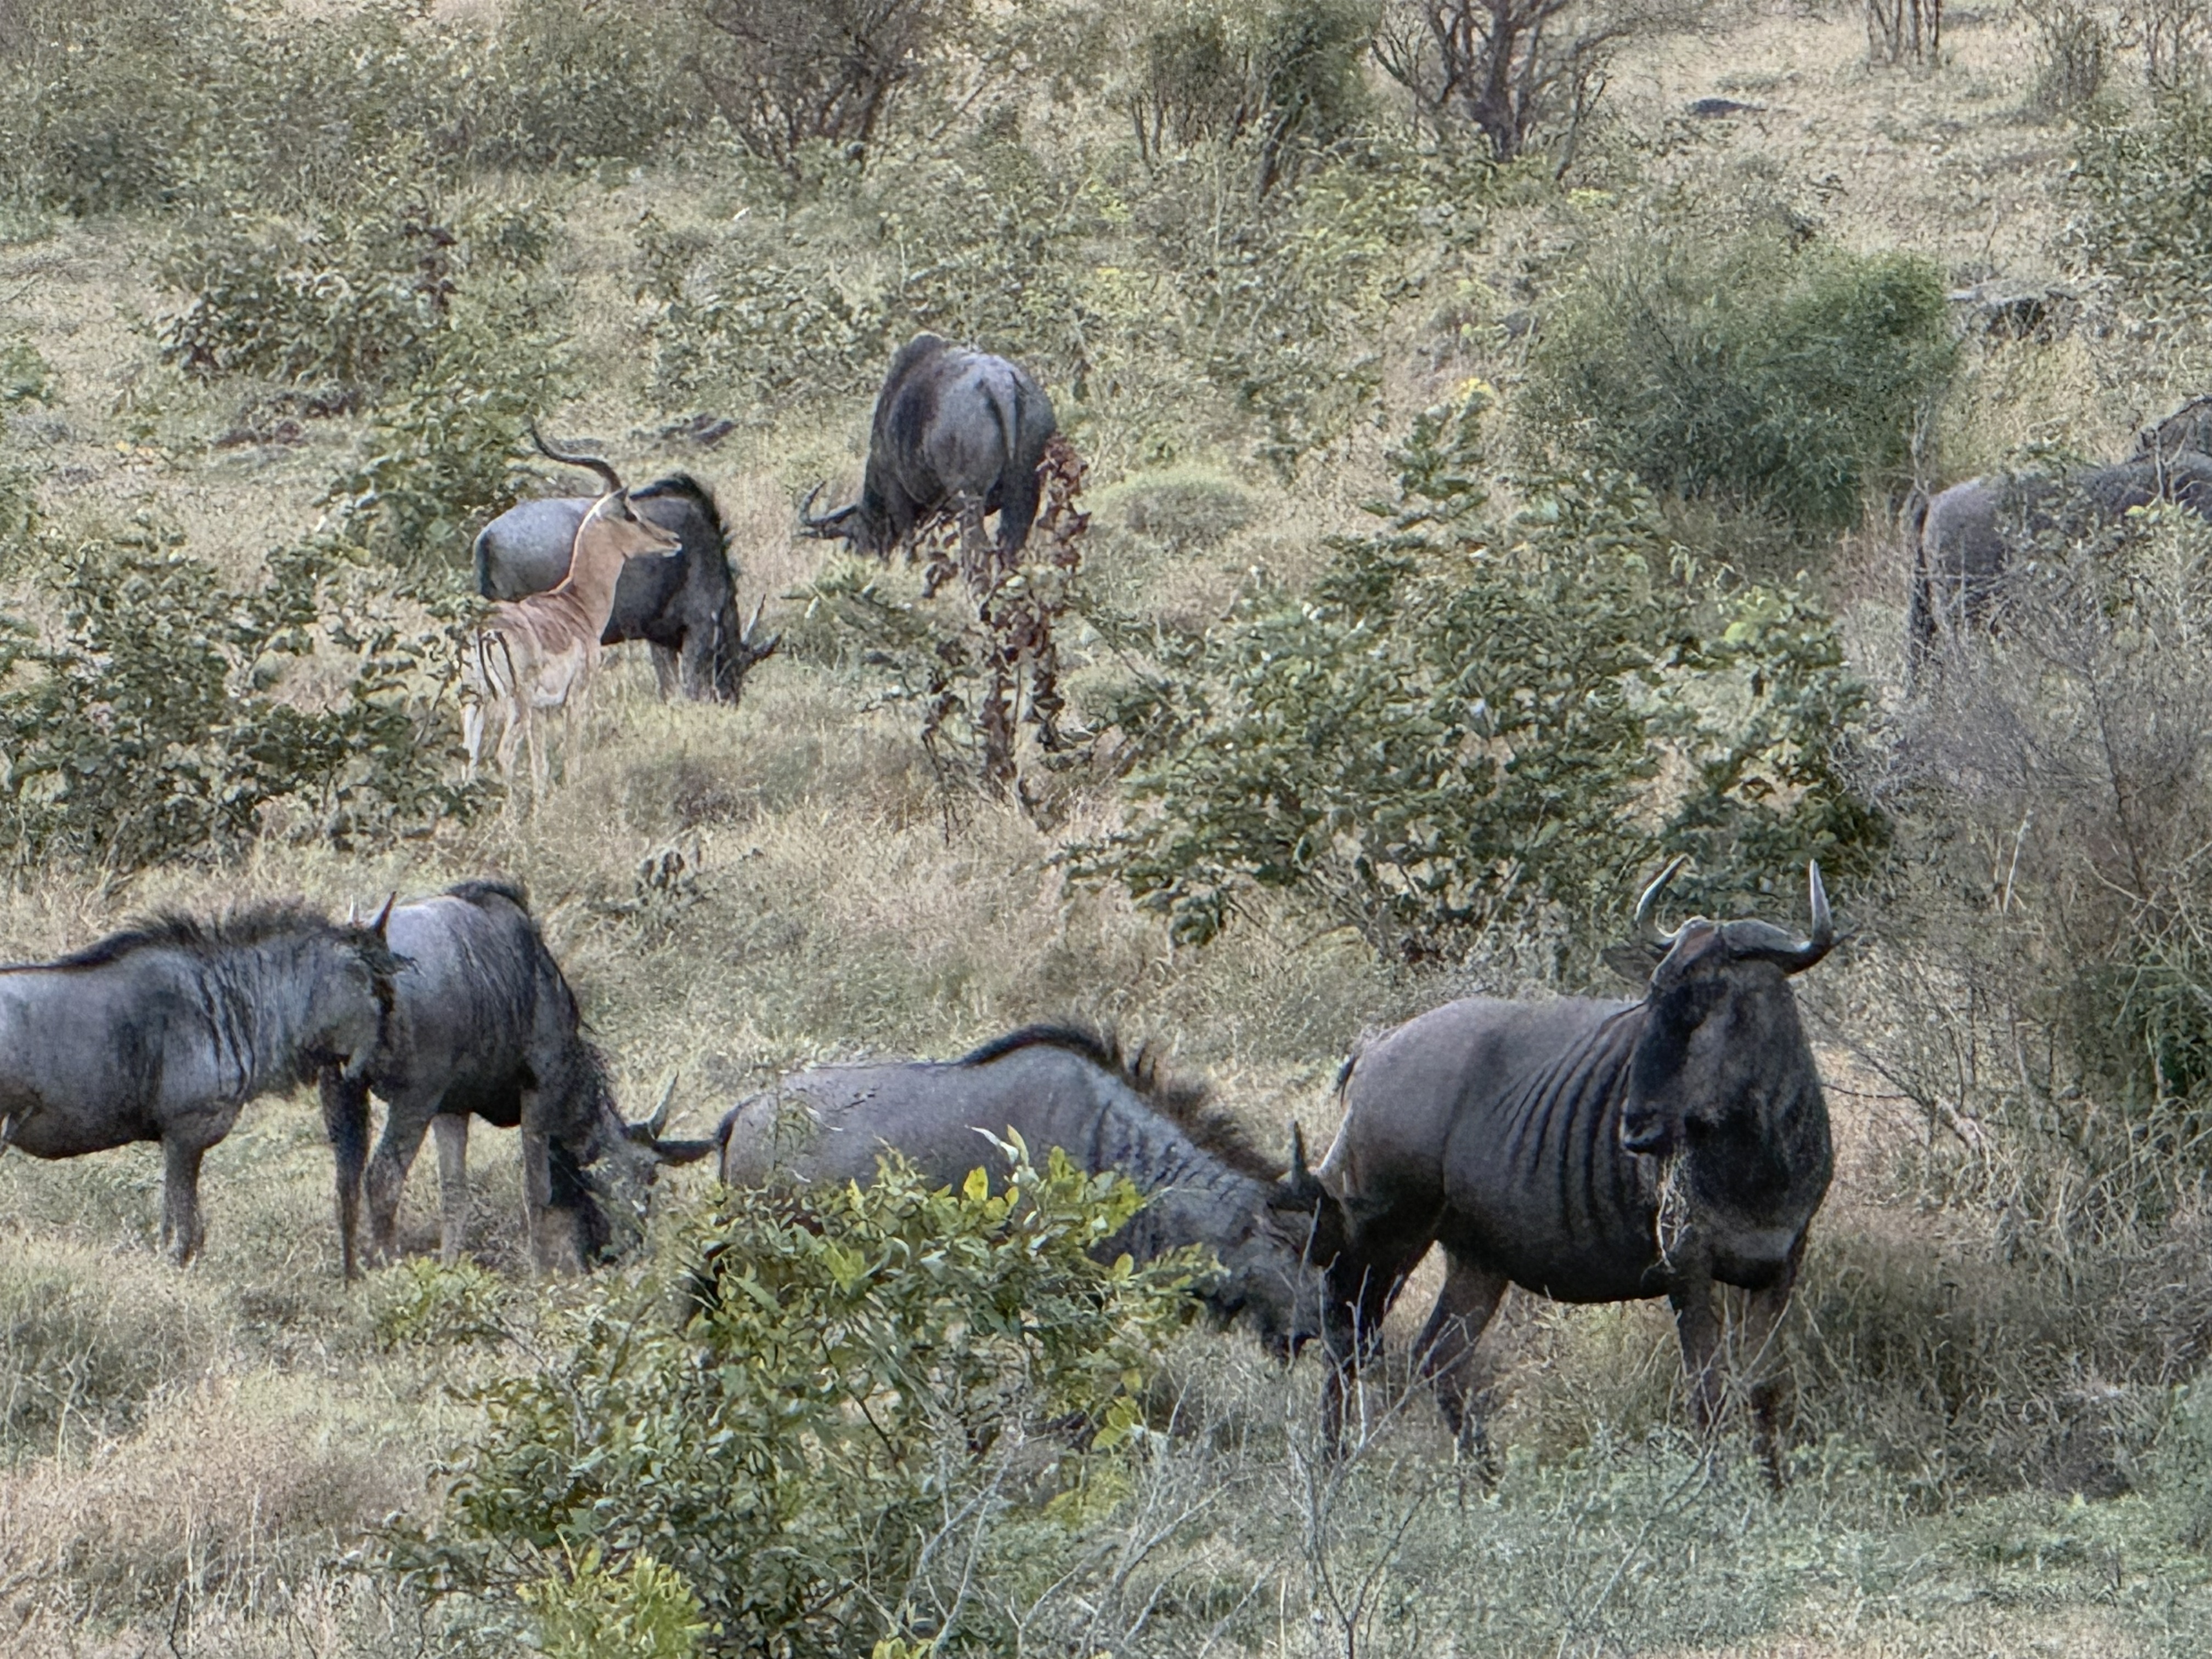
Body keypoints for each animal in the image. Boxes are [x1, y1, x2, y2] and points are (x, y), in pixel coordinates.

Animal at [463, 427, 682, 803]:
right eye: (630, 514)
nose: (672, 539)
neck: (576, 603)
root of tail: (484, 631)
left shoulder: (541, 711)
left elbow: (540, 765)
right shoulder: (575, 696)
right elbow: (571, 758)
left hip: (474, 703)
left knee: (469, 758)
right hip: (514, 703)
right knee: (503, 755)